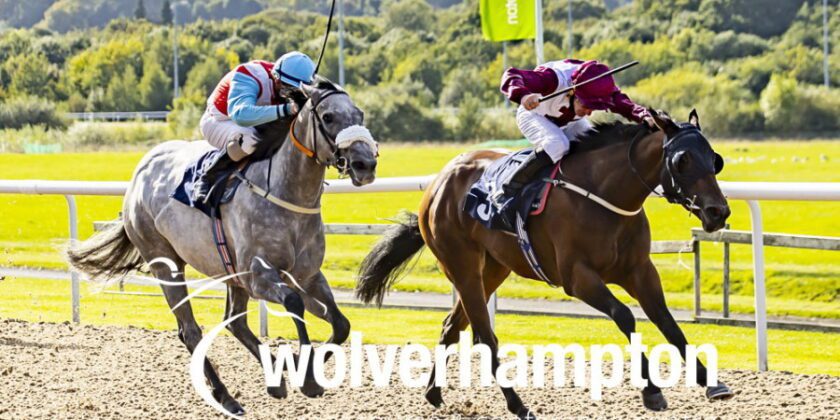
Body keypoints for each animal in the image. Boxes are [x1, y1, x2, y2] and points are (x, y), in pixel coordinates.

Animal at [68, 77, 378, 415]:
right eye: (328, 117)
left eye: (360, 114)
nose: (365, 163)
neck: (287, 194)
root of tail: (141, 171)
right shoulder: (258, 275)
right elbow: (294, 303)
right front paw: (305, 378)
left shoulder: (307, 274)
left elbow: (341, 323)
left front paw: (303, 368)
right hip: (164, 261)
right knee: (190, 330)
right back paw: (226, 396)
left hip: (230, 272)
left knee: (235, 321)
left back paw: (273, 380)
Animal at [356, 109, 733, 419]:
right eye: (682, 160)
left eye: (714, 159)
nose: (718, 212)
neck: (605, 194)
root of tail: (436, 184)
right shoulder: (577, 277)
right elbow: (625, 316)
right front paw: (652, 391)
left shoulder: (640, 270)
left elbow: (666, 321)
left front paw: (711, 382)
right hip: (461, 266)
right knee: (483, 335)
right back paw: (518, 405)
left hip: (492, 268)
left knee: (452, 325)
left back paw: (434, 394)